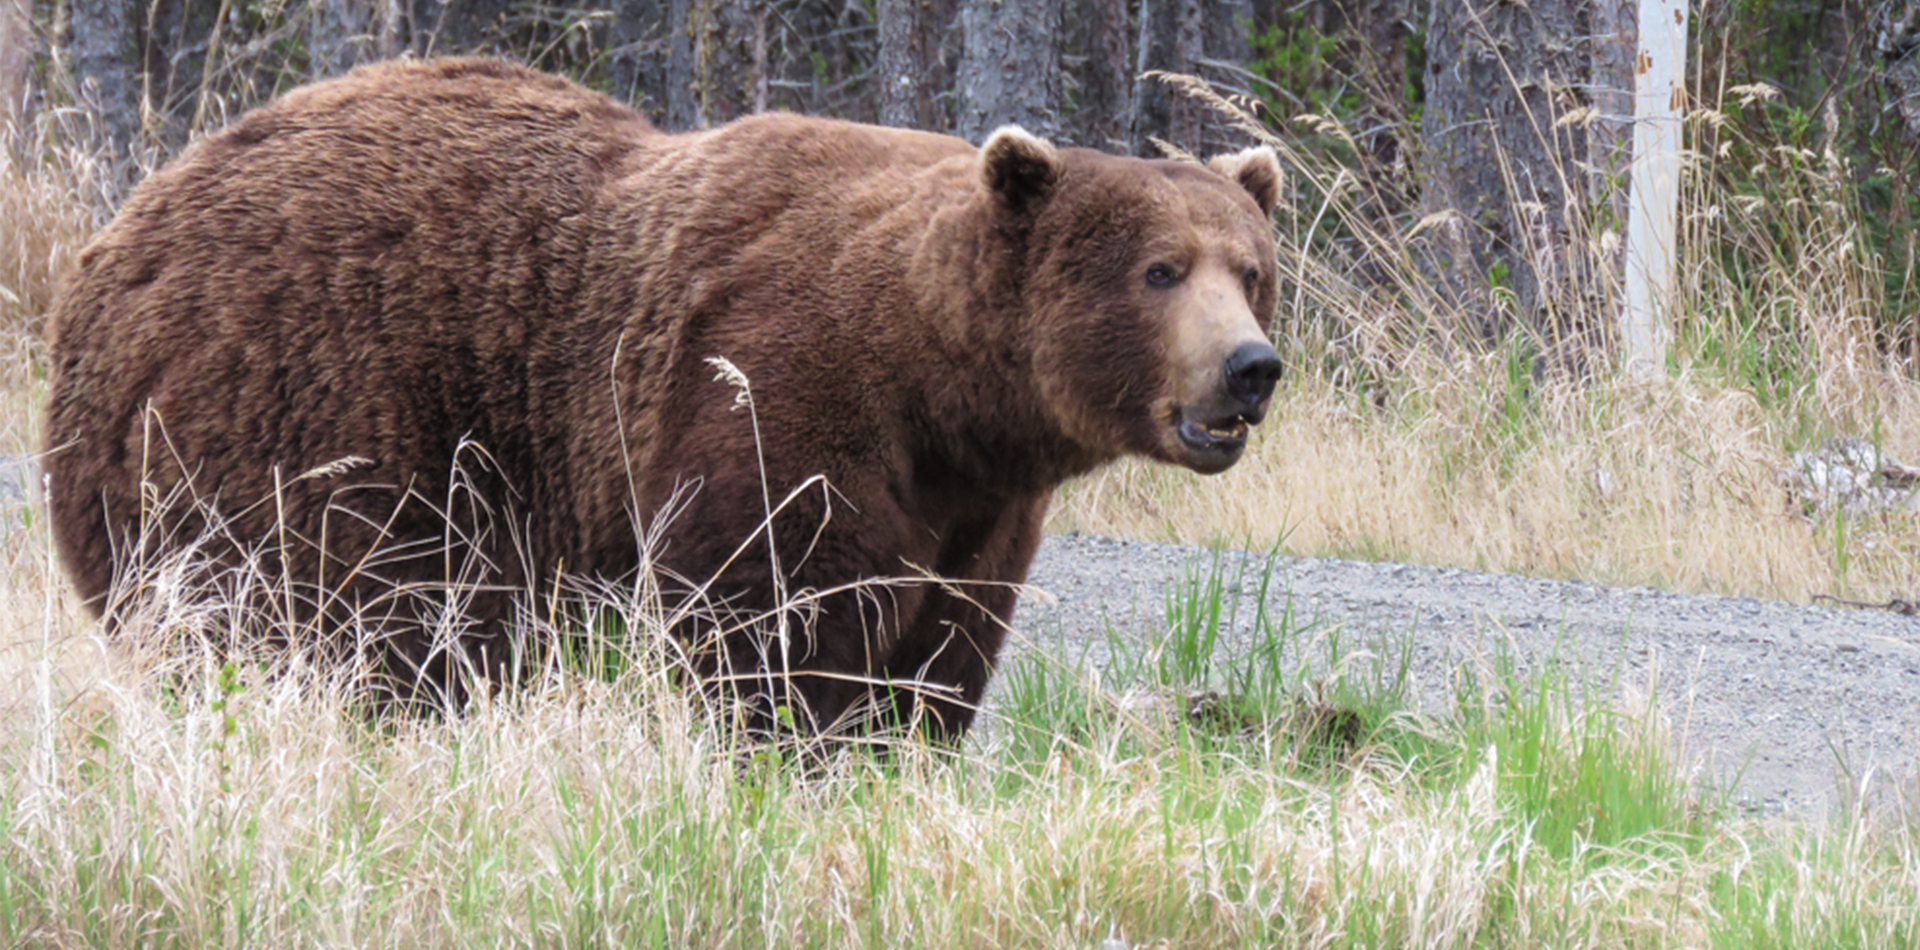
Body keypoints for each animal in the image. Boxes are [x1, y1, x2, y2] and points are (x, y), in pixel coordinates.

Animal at [45, 57, 1283, 739]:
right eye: (1160, 269)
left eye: (1251, 267)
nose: (1250, 367)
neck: (942, 389)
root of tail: (123, 235)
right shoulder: (775, 395)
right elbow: (771, 621)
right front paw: (788, 745)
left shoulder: (979, 510)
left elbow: (941, 653)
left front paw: (897, 744)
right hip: (288, 412)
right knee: (330, 612)